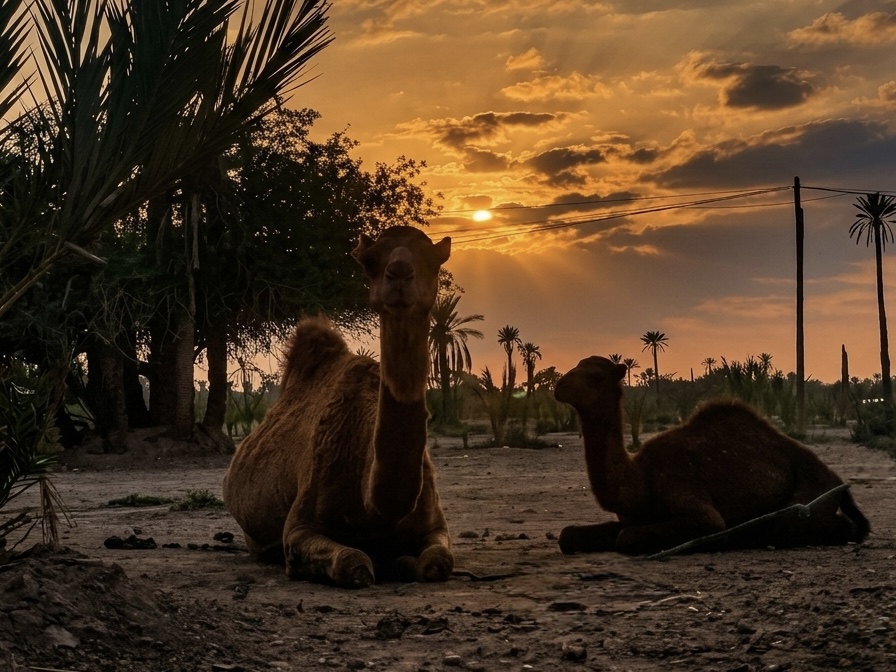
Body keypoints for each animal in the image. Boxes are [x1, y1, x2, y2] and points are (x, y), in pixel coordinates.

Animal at [222, 226, 454, 588]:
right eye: (369, 261)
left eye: (434, 259)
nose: (400, 274)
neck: (373, 507)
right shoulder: (299, 528)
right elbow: (353, 563)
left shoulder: (435, 525)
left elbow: (438, 563)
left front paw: (403, 561)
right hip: (253, 537)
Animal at [554, 356, 870, 556]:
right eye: (576, 365)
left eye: (595, 376)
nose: (559, 386)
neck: (639, 479)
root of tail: (839, 485)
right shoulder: (633, 515)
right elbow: (568, 534)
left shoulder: (687, 494)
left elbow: (627, 537)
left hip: (809, 495)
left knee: (801, 523)